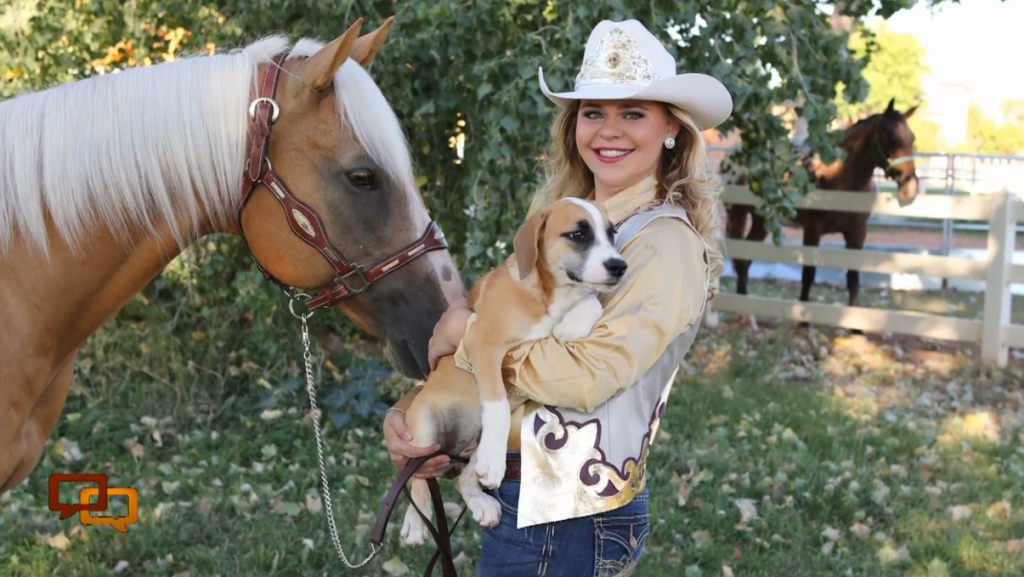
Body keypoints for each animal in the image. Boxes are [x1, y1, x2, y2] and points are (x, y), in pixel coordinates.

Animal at [397, 198, 622, 545]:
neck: (548, 295)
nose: (619, 266)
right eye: (578, 234)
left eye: (612, 234)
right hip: (424, 427)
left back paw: (481, 502)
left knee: (463, 478)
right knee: (421, 478)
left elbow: (591, 300)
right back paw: (416, 523)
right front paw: (493, 461)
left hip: (472, 442)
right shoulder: (483, 344)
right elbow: (498, 405)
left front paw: (572, 325)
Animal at [708, 100, 925, 330]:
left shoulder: (858, 233)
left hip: (762, 221)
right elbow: (809, 273)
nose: (910, 188)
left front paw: (856, 328)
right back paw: (746, 316)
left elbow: (853, 277)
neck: (838, 178)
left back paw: (746, 315)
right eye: (891, 137)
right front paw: (805, 323)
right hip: (738, 214)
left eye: (912, 138)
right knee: (740, 260)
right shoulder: (813, 230)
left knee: (745, 261)